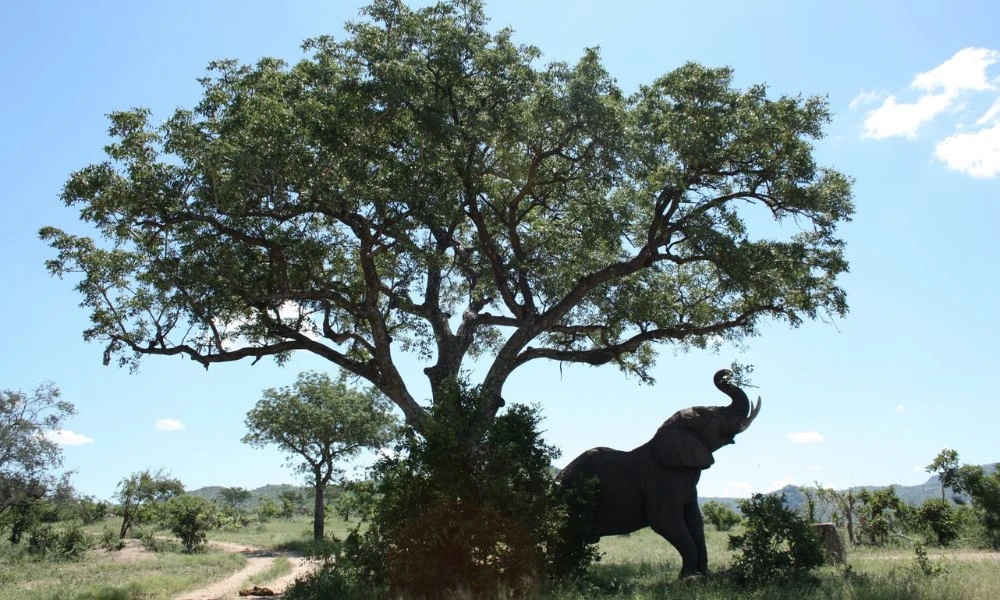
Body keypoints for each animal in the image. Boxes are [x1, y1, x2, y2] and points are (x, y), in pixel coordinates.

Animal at [560, 368, 760, 580]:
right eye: (712, 416)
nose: (727, 373)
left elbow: (696, 522)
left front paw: (704, 575)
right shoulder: (662, 480)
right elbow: (664, 521)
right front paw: (688, 578)